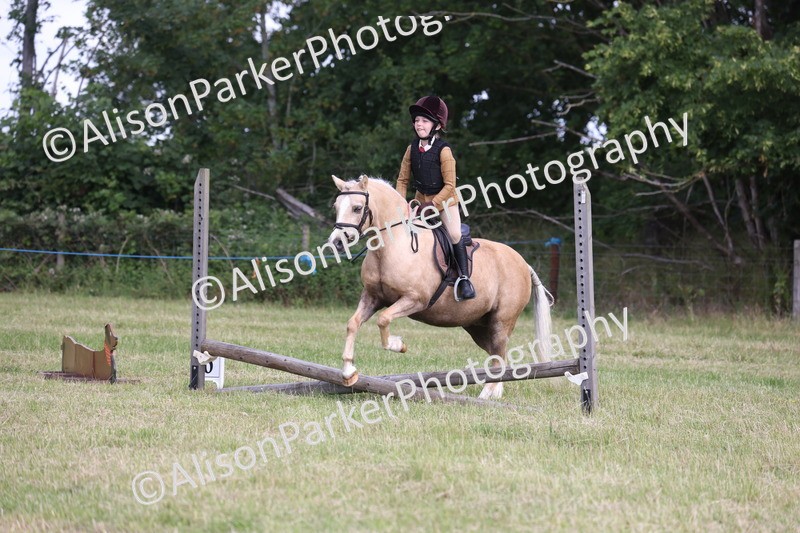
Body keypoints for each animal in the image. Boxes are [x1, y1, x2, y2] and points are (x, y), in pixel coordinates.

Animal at [327, 175, 553, 399]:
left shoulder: (415, 299)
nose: (336, 243)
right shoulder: (373, 297)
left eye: (357, 208)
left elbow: (383, 319)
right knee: (499, 356)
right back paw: (494, 394)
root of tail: (523, 263)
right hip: (477, 325)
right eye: (336, 206)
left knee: (498, 357)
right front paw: (348, 372)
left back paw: (485, 396)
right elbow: (353, 323)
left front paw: (398, 345)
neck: (393, 246)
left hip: (501, 322)